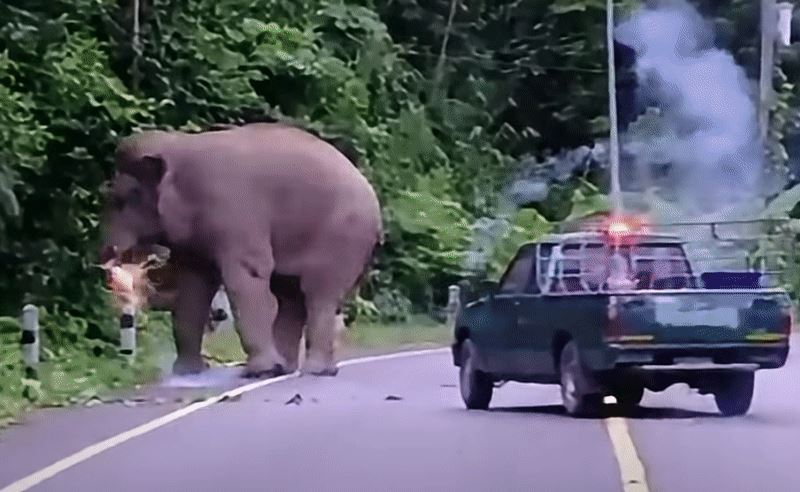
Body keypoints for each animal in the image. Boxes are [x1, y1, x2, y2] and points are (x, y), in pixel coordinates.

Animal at [100, 122, 383, 378]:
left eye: (120, 200)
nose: (107, 257)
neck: (177, 145)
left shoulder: (232, 214)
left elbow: (246, 277)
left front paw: (260, 371)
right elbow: (193, 288)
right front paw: (186, 372)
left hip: (341, 239)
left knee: (318, 295)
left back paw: (310, 371)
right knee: (291, 296)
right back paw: (286, 369)